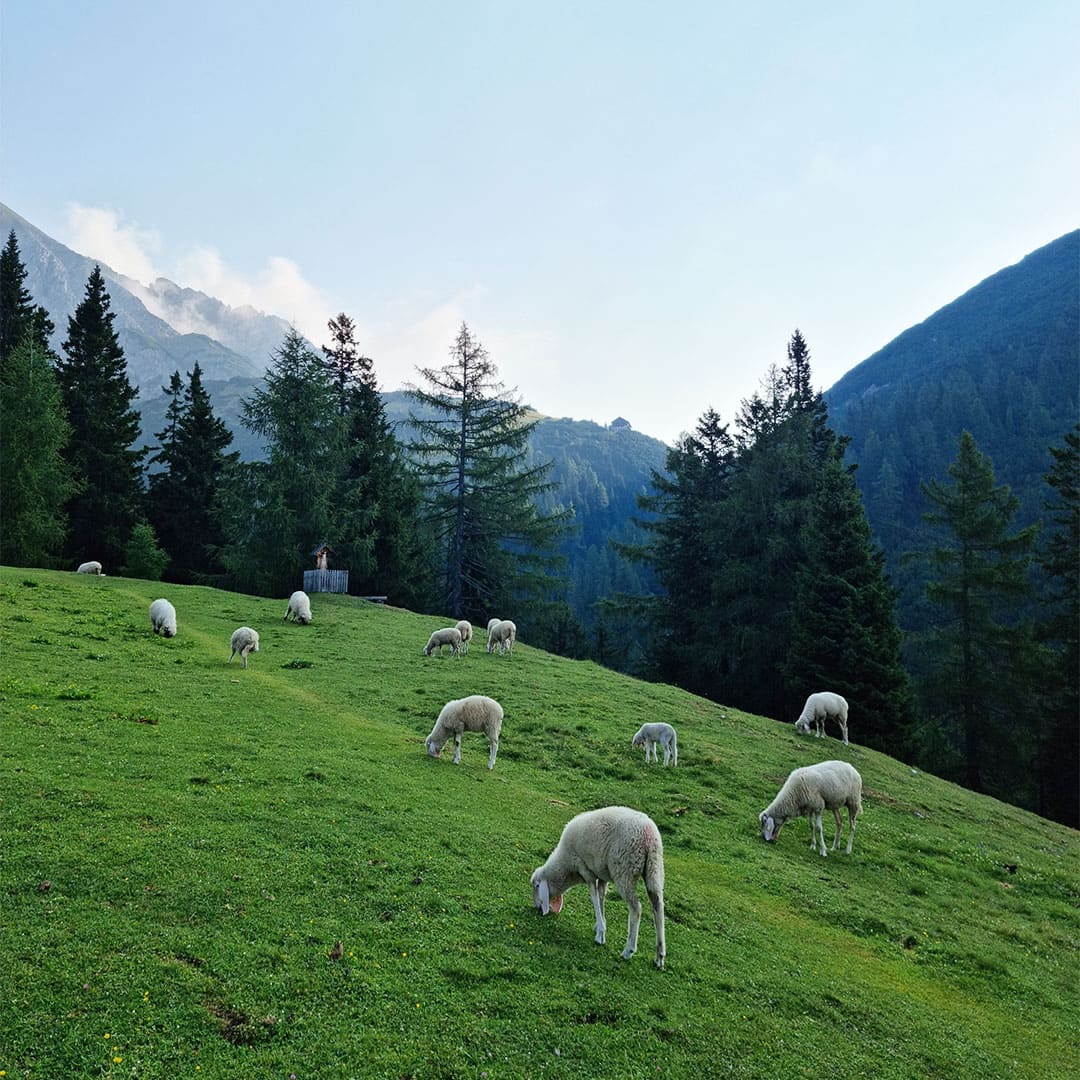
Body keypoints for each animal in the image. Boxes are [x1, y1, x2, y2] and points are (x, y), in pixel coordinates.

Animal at [531, 803, 665, 972]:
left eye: (536, 886)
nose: (536, 907)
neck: (566, 868)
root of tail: (648, 836)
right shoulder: (602, 875)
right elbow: (601, 897)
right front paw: (600, 924)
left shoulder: (585, 869)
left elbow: (594, 898)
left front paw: (600, 934)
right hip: (655, 868)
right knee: (658, 905)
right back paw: (660, 955)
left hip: (625, 870)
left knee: (636, 908)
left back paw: (628, 950)